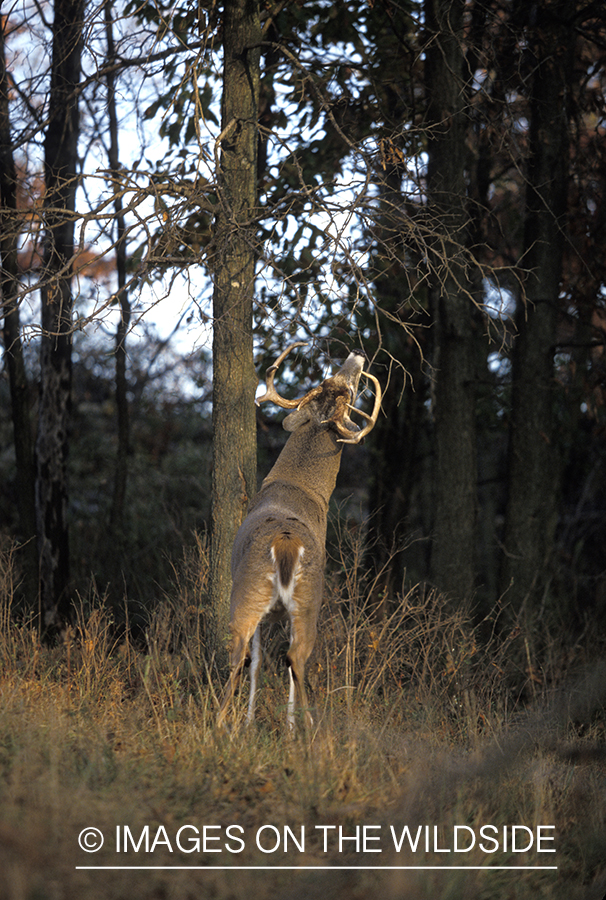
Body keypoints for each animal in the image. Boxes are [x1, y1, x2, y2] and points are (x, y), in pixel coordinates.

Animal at [216, 342, 382, 732]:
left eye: (337, 383)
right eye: (351, 387)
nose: (356, 356)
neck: (298, 486)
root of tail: (285, 544)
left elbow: (260, 662)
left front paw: (252, 723)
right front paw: (284, 725)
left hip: (253, 595)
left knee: (242, 654)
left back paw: (223, 724)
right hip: (308, 597)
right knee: (293, 658)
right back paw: (307, 730)